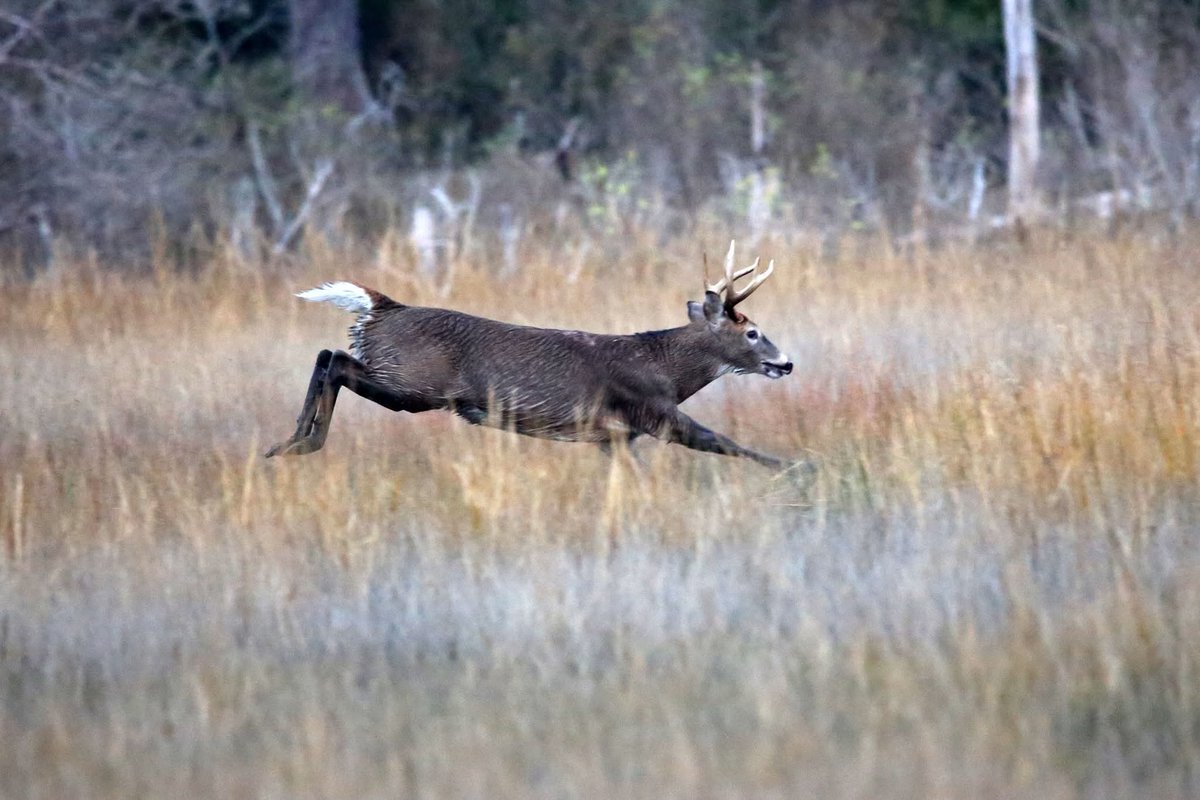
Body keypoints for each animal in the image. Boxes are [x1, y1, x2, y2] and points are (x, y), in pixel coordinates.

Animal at [266, 241, 796, 469]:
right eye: (753, 334)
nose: (786, 361)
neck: (665, 369)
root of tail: (382, 306)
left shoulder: (613, 437)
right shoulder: (651, 411)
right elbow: (720, 440)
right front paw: (796, 469)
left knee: (326, 353)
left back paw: (286, 443)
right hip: (414, 383)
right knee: (336, 359)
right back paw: (299, 443)